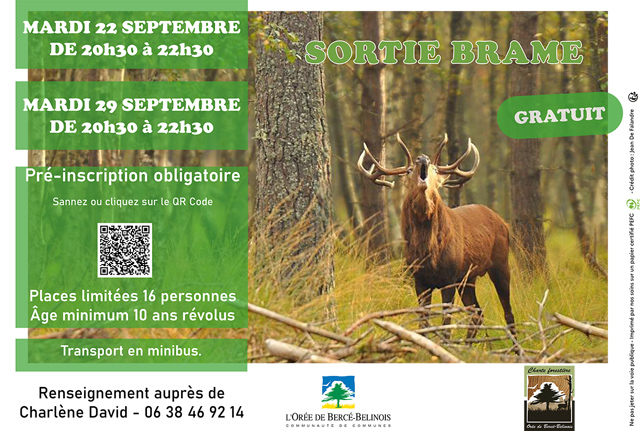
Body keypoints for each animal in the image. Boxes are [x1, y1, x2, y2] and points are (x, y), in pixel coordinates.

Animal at [357, 133, 514, 340]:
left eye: (435, 169)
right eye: (409, 170)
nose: (423, 158)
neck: (429, 252)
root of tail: (503, 222)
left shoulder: (449, 277)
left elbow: (446, 323)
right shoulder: (419, 279)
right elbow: (424, 321)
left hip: (500, 262)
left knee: (507, 313)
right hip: (468, 278)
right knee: (477, 313)